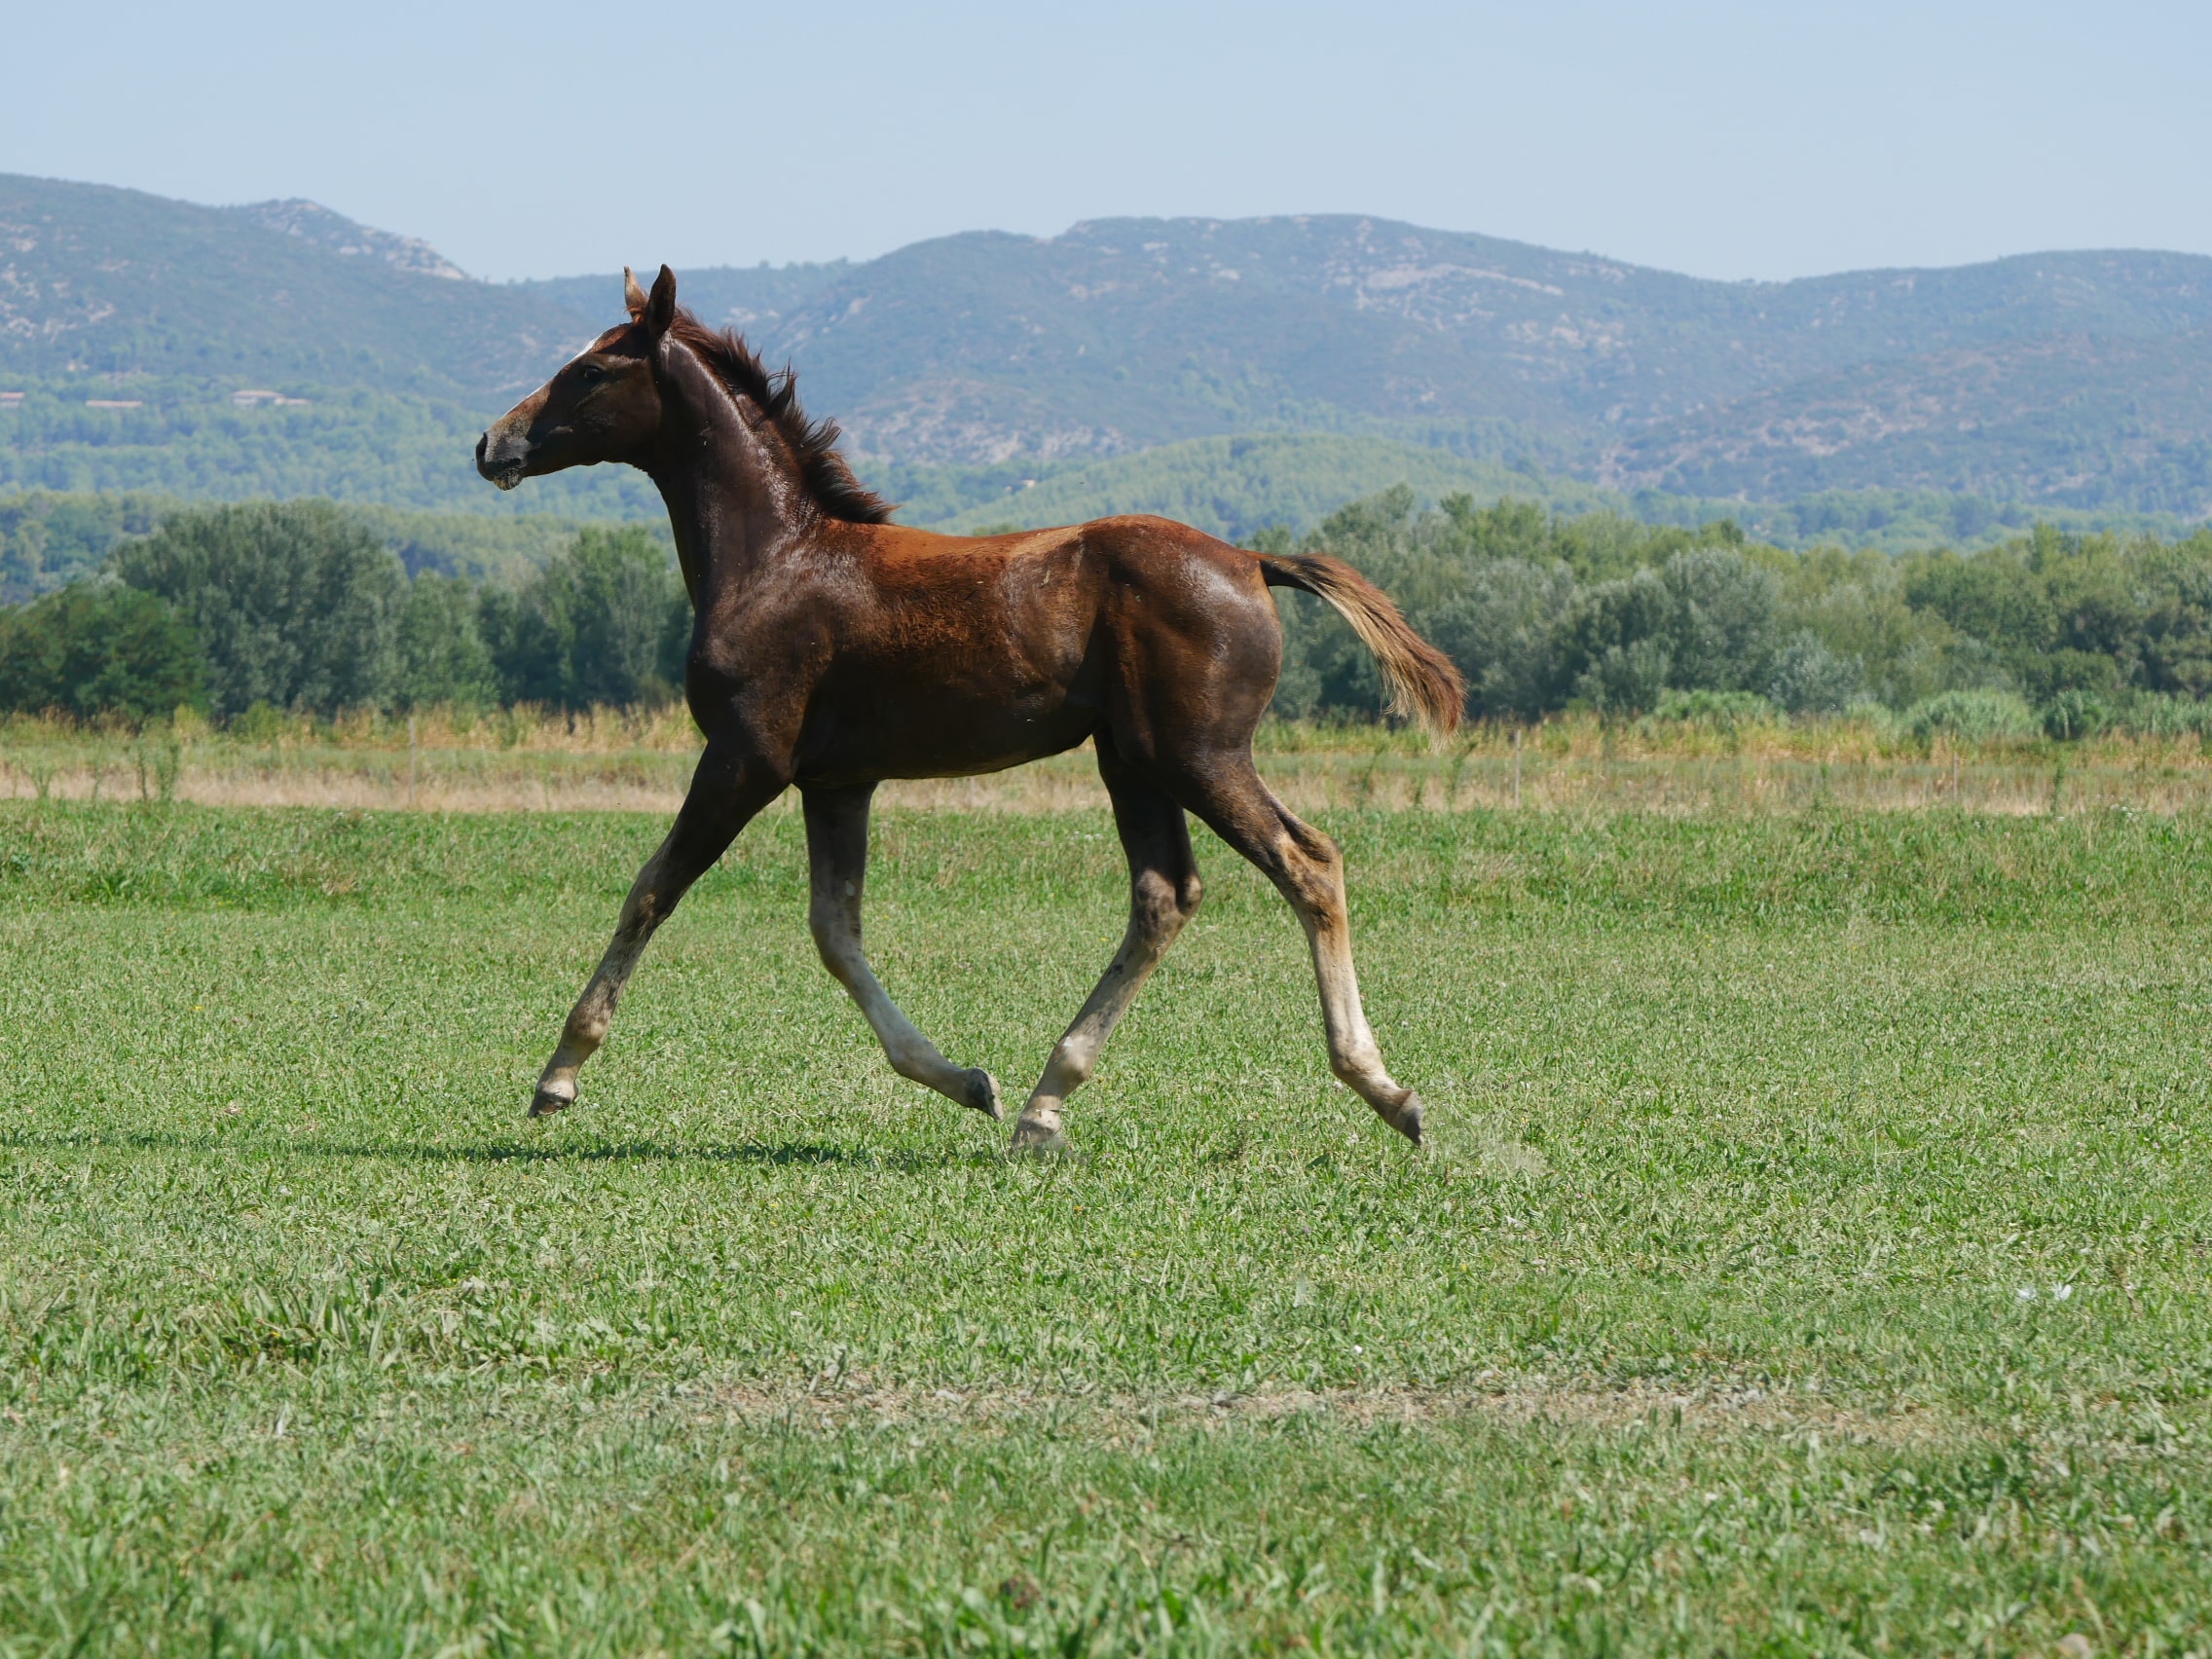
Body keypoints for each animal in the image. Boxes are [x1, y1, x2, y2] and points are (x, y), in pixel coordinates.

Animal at [476, 265, 1464, 1151]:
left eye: (592, 370)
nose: (492, 444)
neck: (777, 559)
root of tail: (1253, 562)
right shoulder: (837, 782)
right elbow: (835, 931)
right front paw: (963, 1080)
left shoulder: (744, 756)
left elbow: (652, 890)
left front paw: (558, 1074)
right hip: (1132, 759)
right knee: (1165, 894)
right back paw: (1043, 1104)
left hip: (1199, 754)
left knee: (1307, 862)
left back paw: (1385, 1091)